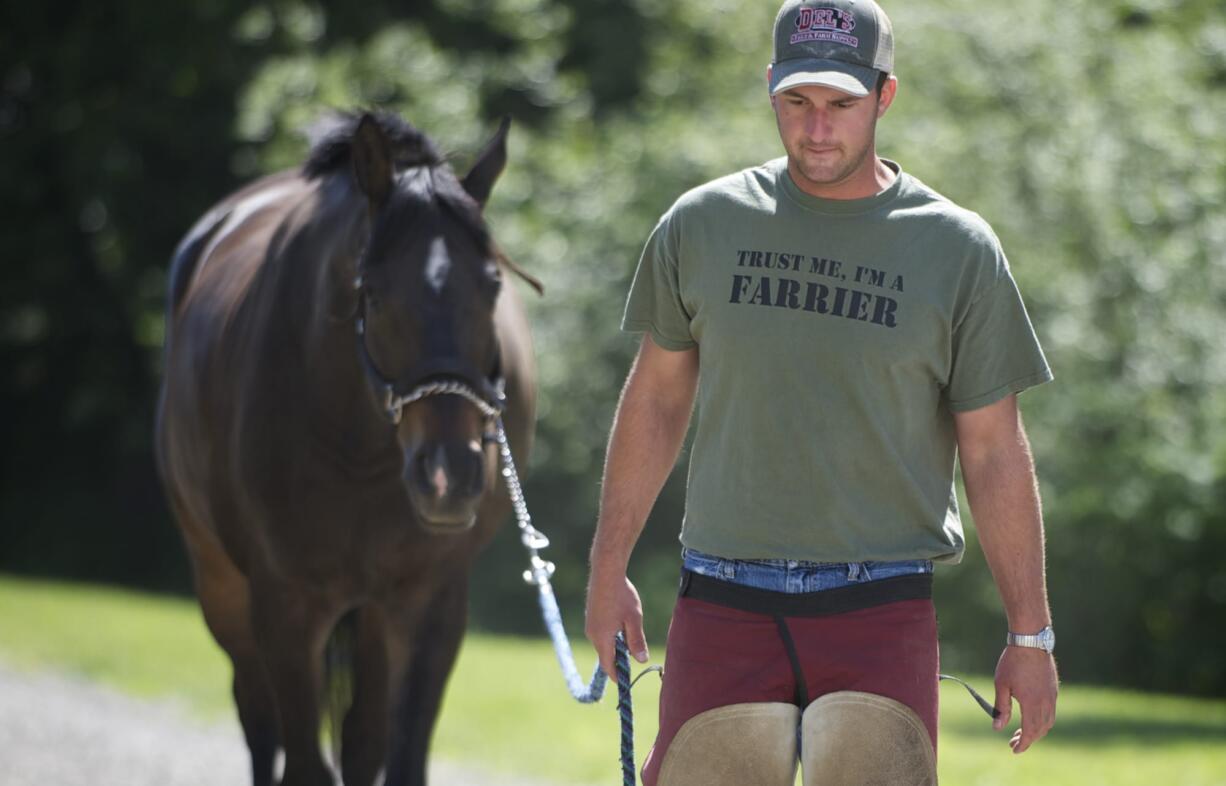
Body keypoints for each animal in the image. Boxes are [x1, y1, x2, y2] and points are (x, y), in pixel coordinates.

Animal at [155, 110, 539, 784]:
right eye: (375, 291)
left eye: (493, 286)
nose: (450, 477)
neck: (359, 448)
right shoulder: (284, 607)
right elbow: (305, 762)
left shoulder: (430, 604)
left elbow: (399, 757)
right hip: (222, 589)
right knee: (259, 723)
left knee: (362, 741)